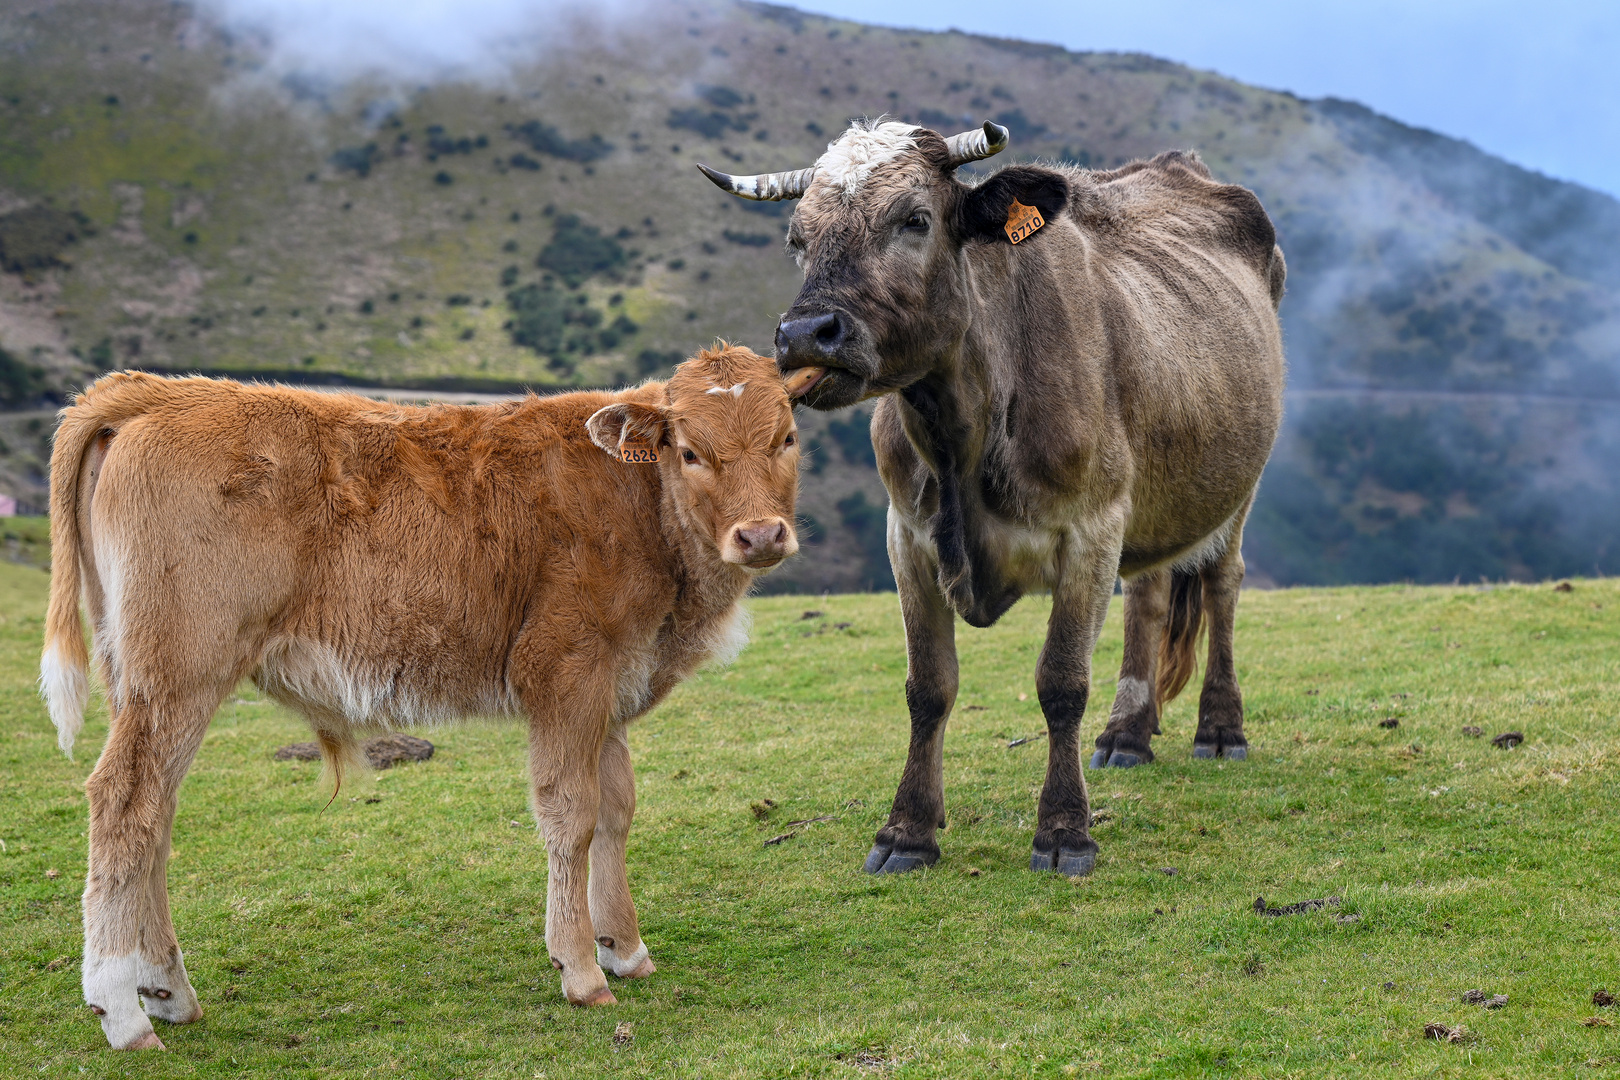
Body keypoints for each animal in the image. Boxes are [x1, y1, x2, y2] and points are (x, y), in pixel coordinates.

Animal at [47, 344, 806, 1049]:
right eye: (690, 450)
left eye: (787, 437)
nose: (761, 534)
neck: (641, 506)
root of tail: (160, 392)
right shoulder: (567, 669)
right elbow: (573, 813)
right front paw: (583, 971)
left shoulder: (615, 681)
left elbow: (617, 809)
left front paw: (625, 947)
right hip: (181, 671)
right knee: (125, 803)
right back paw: (121, 1009)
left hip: (138, 678)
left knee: (157, 815)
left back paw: (165, 990)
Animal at [703, 120, 1283, 880]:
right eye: (799, 237)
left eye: (915, 220)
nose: (805, 334)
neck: (961, 435)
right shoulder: (907, 536)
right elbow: (928, 686)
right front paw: (907, 831)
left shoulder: (1091, 528)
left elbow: (1061, 682)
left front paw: (1064, 831)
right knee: (1151, 593)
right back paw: (1128, 733)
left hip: (1239, 486)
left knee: (1221, 583)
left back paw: (1220, 727)